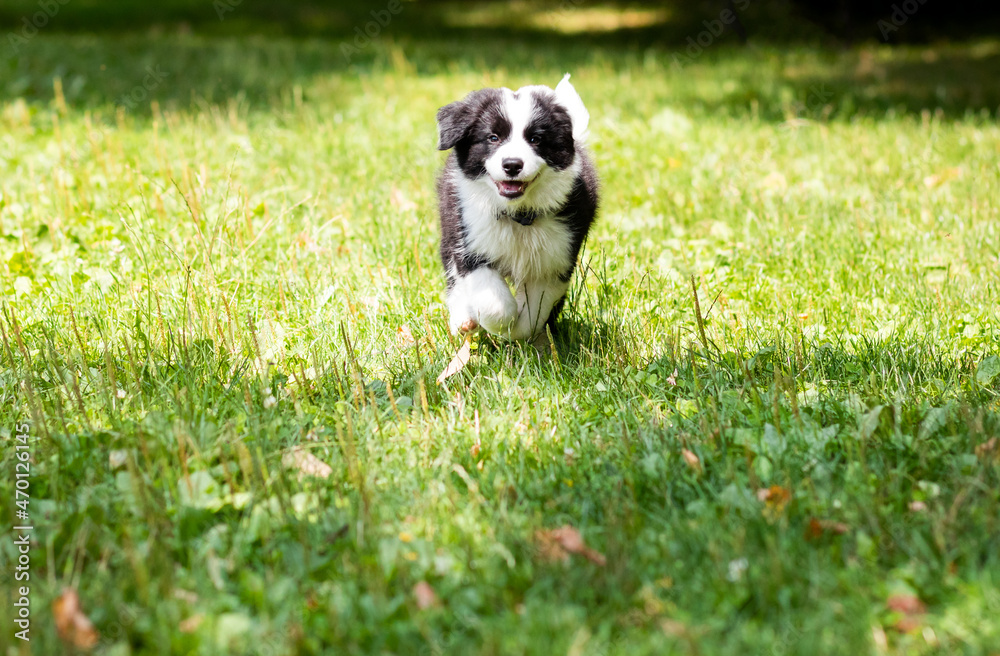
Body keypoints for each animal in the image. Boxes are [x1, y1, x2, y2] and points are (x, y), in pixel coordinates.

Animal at [436, 75, 592, 344]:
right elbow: (494, 304)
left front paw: (518, 333)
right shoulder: (470, 241)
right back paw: (463, 320)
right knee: (453, 276)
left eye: (536, 139)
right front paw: (501, 324)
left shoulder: (554, 260)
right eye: (493, 138)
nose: (511, 165)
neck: (517, 216)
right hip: (450, 228)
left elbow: (533, 313)